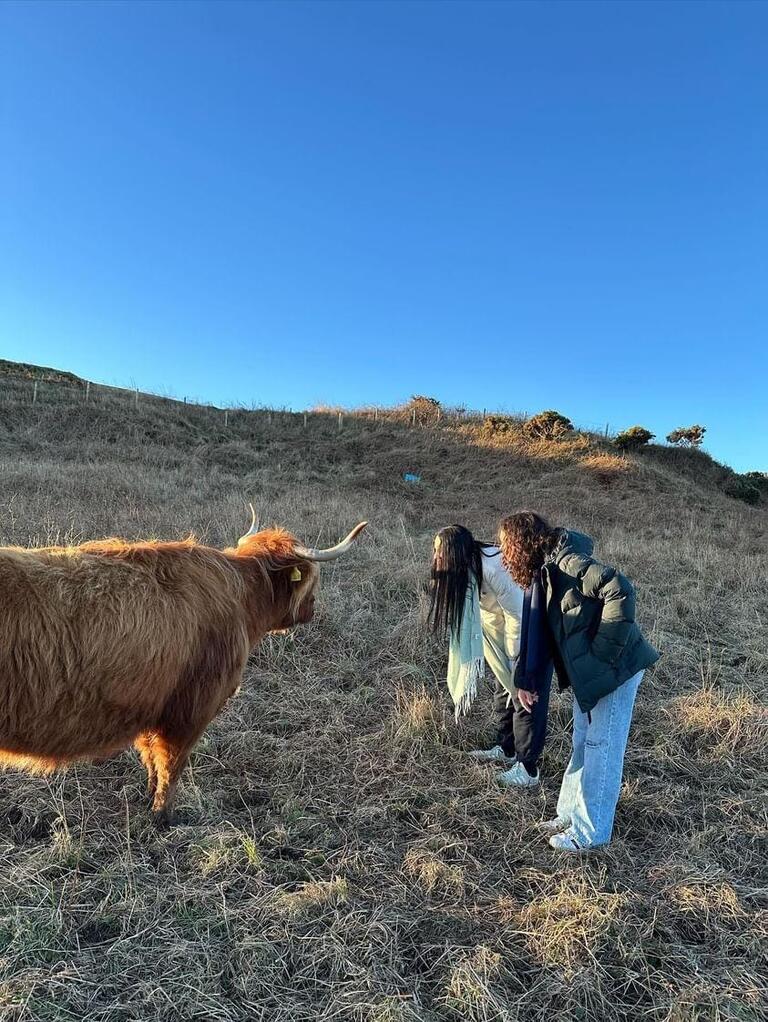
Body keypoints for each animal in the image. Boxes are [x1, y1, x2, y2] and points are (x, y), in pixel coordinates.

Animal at [0, 509, 367, 824]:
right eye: (311, 582)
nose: (312, 609)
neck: (241, 601)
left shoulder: (153, 706)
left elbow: (151, 758)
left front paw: (148, 798)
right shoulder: (190, 709)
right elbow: (171, 764)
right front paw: (162, 816)